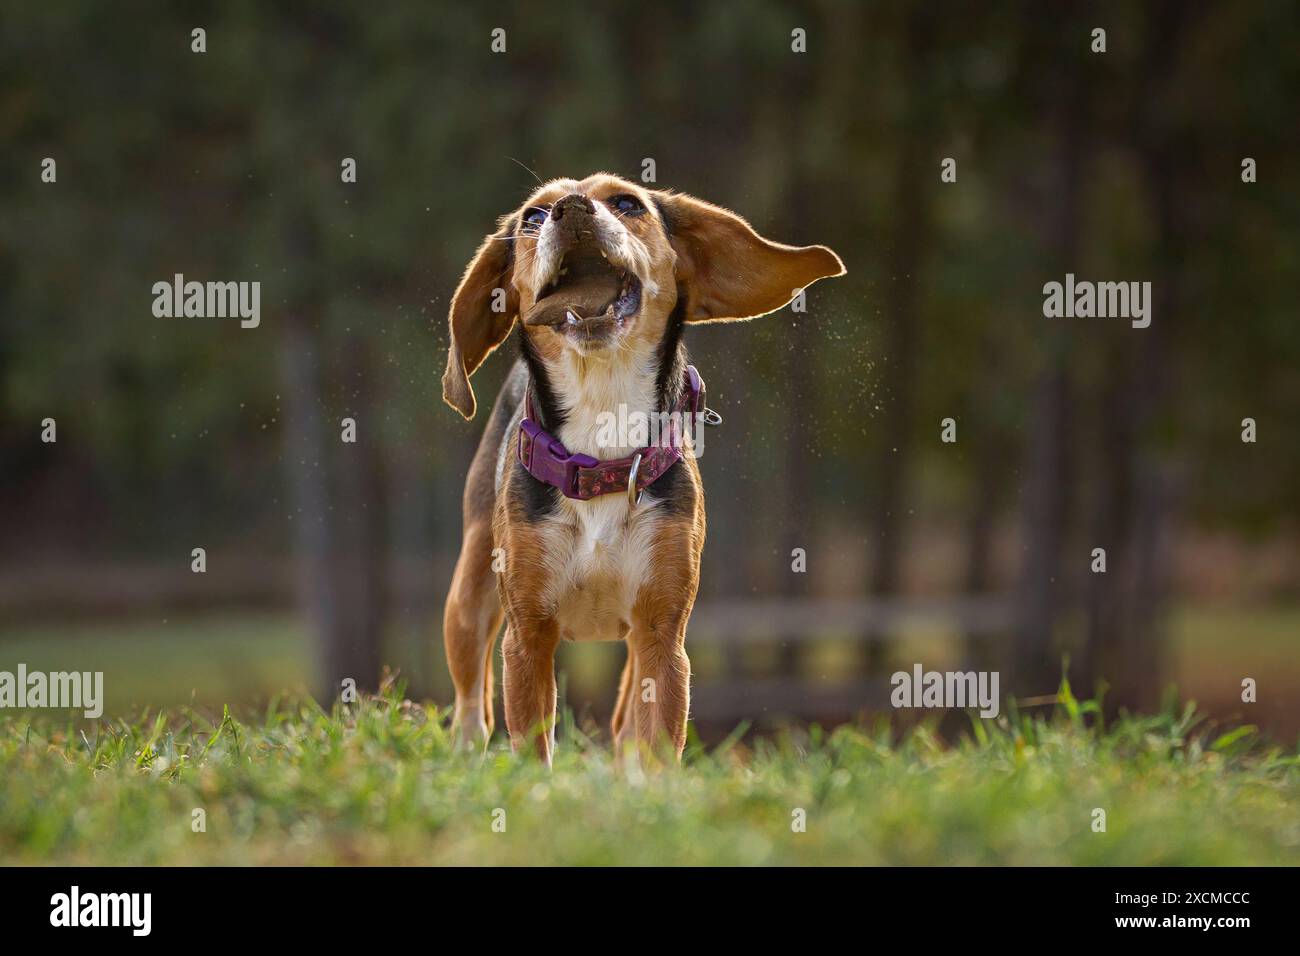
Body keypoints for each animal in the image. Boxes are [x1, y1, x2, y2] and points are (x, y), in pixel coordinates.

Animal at [439, 171, 842, 764]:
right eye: (533, 217)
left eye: (628, 203)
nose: (570, 208)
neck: (601, 442)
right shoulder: (527, 637)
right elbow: (532, 743)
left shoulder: (661, 634)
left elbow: (656, 740)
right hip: (469, 597)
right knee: (472, 702)